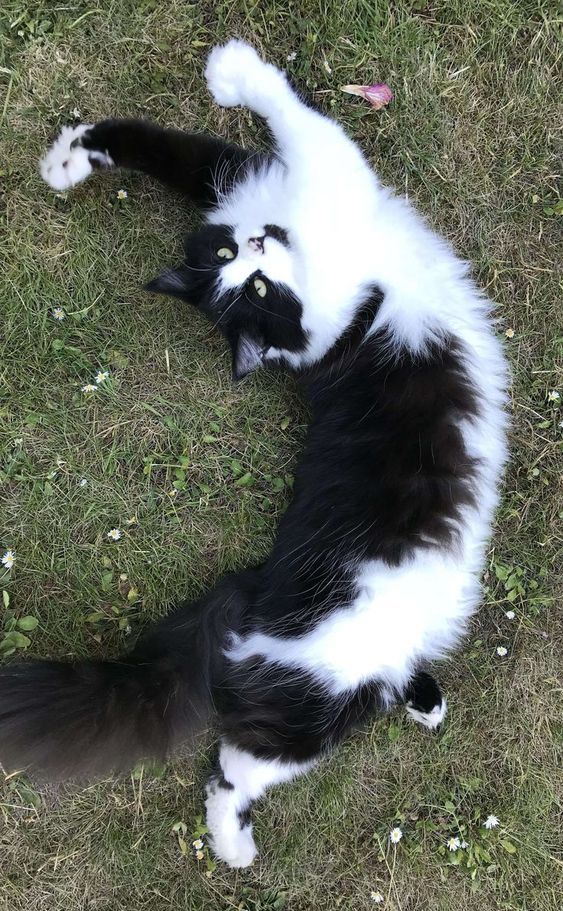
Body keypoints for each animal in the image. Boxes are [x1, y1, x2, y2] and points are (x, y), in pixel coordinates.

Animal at [0, 44, 512, 868]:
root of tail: (256, 585)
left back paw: (423, 700)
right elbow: (294, 111)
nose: (258, 243)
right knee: (232, 769)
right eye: (233, 262)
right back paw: (232, 846)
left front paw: (68, 161)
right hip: (315, 694)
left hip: (341, 685)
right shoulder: (323, 171)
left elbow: (147, 140)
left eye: (256, 279)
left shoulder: (233, 173)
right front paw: (233, 72)